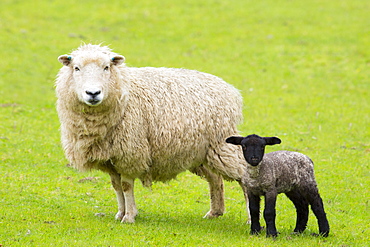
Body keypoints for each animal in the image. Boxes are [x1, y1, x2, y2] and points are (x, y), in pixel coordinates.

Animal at [55, 44, 250, 224]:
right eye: (76, 68)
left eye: (106, 67)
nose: (93, 93)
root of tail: (230, 90)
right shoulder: (111, 159)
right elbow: (116, 186)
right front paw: (120, 213)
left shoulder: (130, 153)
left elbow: (126, 186)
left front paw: (129, 216)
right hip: (200, 152)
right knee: (215, 179)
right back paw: (214, 212)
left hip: (221, 143)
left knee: (244, 176)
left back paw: (249, 218)